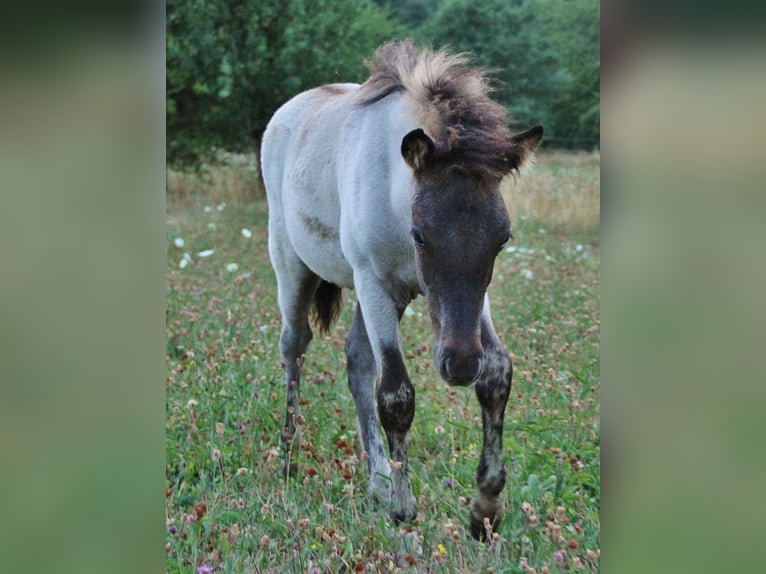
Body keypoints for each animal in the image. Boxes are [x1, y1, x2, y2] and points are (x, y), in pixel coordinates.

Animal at [260, 39, 542, 540]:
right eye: (420, 235)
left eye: (503, 239)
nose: (459, 365)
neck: (396, 194)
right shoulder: (373, 281)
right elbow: (396, 395)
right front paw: (403, 510)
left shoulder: (466, 301)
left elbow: (497, 375)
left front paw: (485, 510)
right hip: (294, 266)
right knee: (295, 347)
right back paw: (290, 457)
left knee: (356, 360)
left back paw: (376, 479)